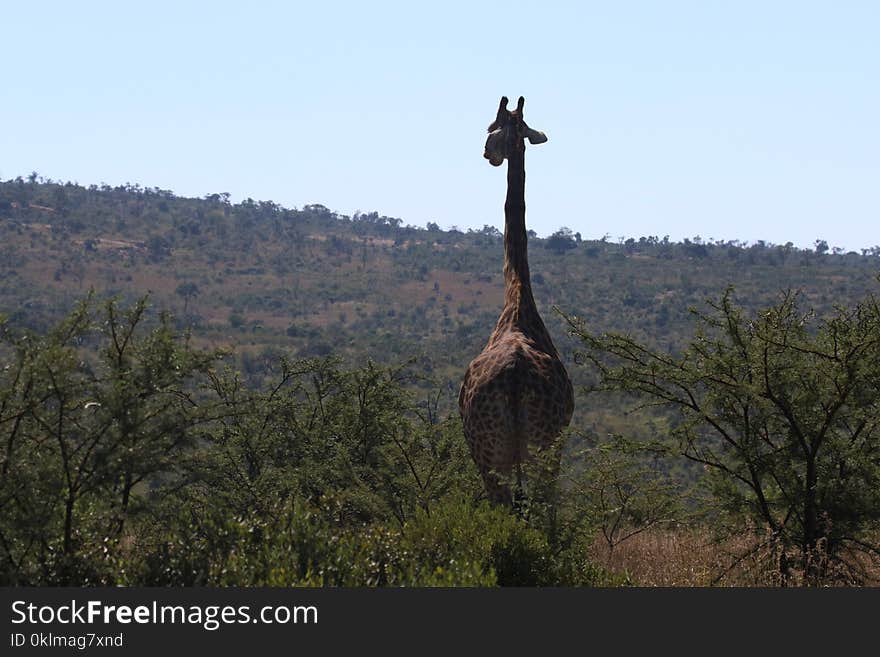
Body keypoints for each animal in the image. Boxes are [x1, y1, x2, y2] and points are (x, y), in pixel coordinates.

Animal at [458, 96, 576, 508]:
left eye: (492, 128)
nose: (487, 154)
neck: (518, 295)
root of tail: (514, 377)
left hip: (497, 455)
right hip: (535, 450)